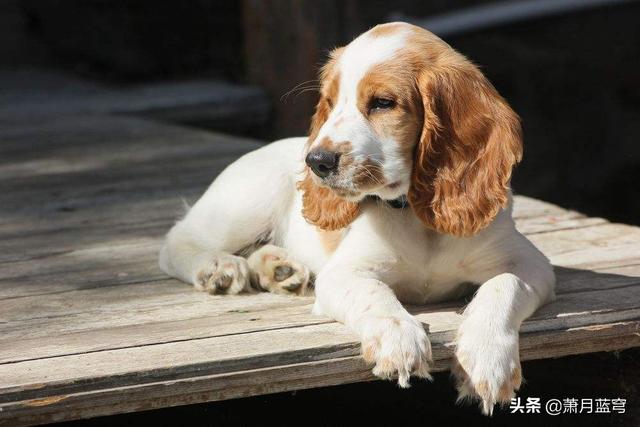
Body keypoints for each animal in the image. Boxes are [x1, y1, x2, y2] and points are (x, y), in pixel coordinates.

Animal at [159, 22, 556, 414]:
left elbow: (503, 286)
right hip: (247, 201)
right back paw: (218, 268)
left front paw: (487, 359)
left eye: (382, 103)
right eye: (330, 102)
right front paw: (399, 339)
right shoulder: (343, 273)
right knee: (176, 241)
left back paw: (280, 269)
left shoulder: (529, 263)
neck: (413, 214)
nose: (316, 161)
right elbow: (374, 293)